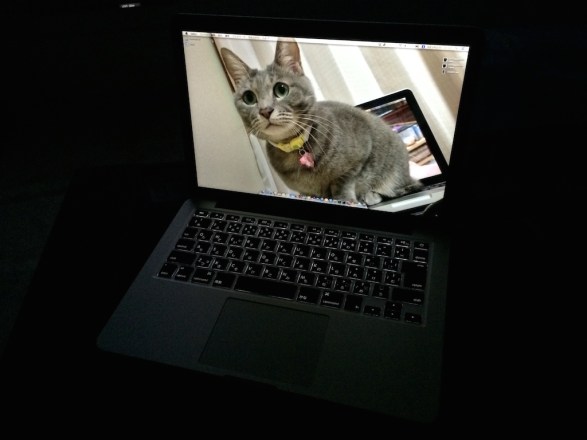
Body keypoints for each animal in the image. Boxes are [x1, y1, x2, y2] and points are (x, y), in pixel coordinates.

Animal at [220, 39, 422, 206]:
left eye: (281, 89)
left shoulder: (359, 158)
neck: (294, 148)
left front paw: (347, 199)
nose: (265, 110)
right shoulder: (306, 191)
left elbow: (343, 182)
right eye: (249, 98)